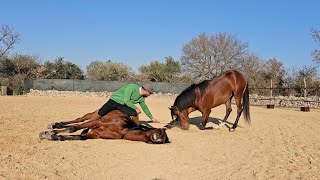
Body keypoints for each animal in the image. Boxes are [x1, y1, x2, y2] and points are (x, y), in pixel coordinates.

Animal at [40, 109, 170, 144]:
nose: (159, 139)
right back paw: (55, 124)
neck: (123, 129)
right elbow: (73, 128)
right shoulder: (96, 122)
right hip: (93, 115)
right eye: (161, 131)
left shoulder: (95, 134)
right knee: (79, 120)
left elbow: (79, 137)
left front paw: (53, 136)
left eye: (164, 140)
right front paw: (48, 133)